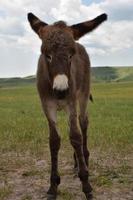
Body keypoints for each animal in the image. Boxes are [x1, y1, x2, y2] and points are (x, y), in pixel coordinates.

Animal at [27, 12, 107, 198]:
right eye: (47, 55)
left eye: (71, 55)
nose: (61, 91)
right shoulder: (47, 105)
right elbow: (54, 141)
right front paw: (53, 186)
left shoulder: (71, 102)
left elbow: (76, 137)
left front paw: (86, 185)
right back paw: (77, 162)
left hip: (82, 95)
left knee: (83, 124)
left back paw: (83, 160)